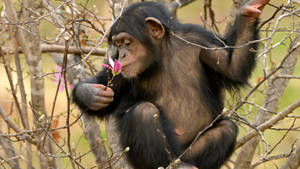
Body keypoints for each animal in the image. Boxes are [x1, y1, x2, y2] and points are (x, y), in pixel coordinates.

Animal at [72, 0, 270, 168]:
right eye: (117, 45)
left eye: (127, 43)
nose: (121, 55)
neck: (162, 54)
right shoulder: (119, 70)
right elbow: (107, 87)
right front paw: (90, 94)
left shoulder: (200, 40)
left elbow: (232, 66)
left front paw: (248, 12)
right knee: (144, 112)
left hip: (188, 153)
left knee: (226, 129)